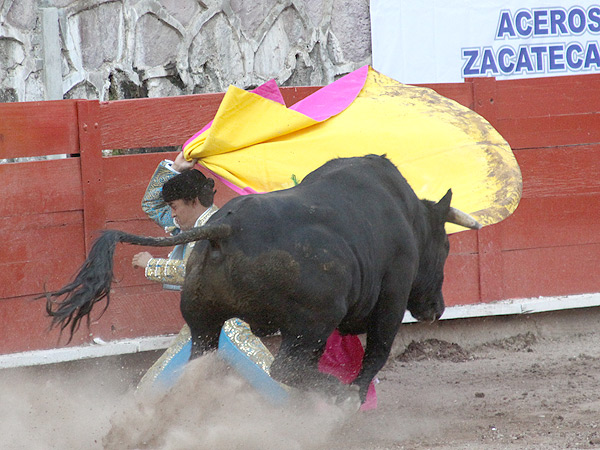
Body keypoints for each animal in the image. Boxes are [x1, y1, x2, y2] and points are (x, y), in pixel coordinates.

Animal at [44, 156, 480, 404]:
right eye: (445, 246)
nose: (436, 308)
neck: (409, 217)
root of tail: (225, 229)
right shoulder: (390, 301)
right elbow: (376, 355)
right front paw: (352, 397)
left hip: (205, 321)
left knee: (203, 362)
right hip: (312, 323)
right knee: (285, 369)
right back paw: (334, 393)